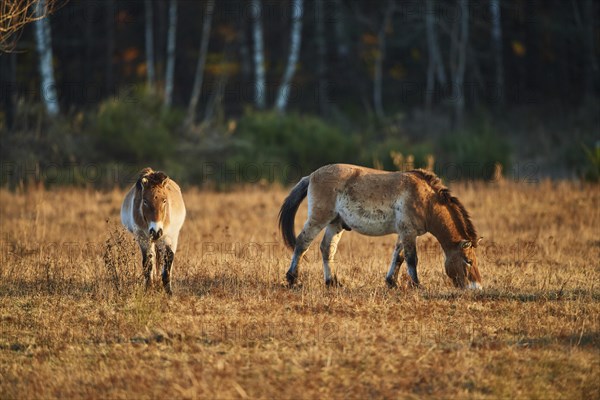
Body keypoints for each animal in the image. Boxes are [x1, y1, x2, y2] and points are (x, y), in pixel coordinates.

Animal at [120, 167, 186, 296]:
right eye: (145, 201)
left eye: (164, 200)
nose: (156, 231)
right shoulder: (143, 238)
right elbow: (148, 263)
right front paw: (149, 289)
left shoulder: (169, 237)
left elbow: (168, 261)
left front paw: (169, 292)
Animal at [280, 164, 482, 290]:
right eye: (468, 261)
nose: (477, 287)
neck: (426, 201)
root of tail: (312, 176)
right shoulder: (408, 233)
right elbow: (412, 259)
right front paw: (417, 285)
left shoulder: (404, 234)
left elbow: (398, 257)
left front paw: (392, 282)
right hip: (319, 218)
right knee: (302, 243)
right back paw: (292, 279)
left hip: (335, 223)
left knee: (327, 249)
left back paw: (333, 282)